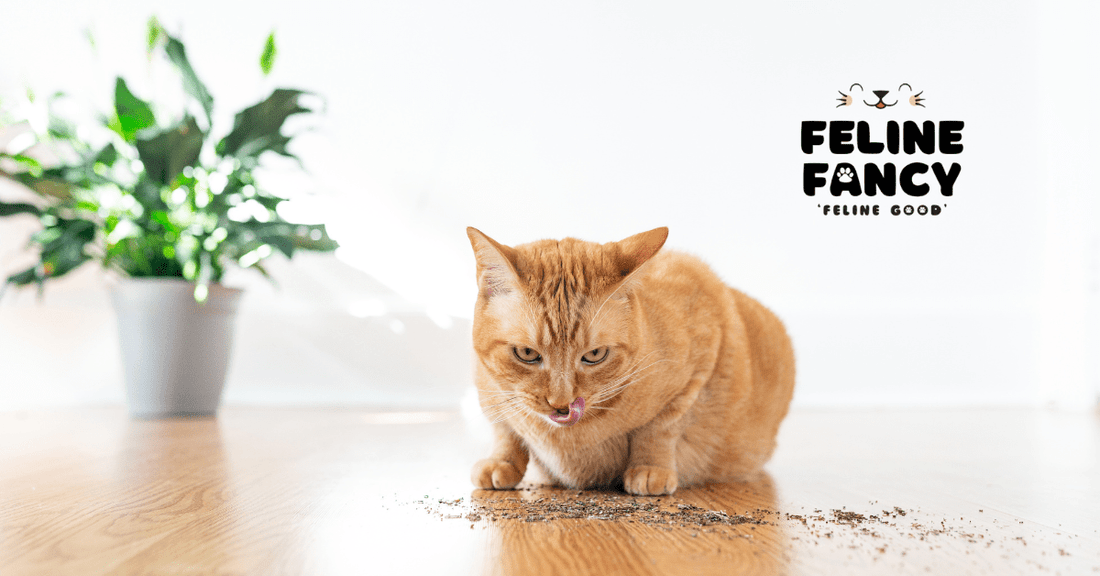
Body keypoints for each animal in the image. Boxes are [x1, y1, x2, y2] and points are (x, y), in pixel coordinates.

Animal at [464, 225, 792, 494]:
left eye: (594, 355)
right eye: (527, 354)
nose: (561, 404)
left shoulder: (704, 350)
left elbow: (660, 427)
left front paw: (650, 468)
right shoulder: (488, 392)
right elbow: (505, 429)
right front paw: (502, 461)